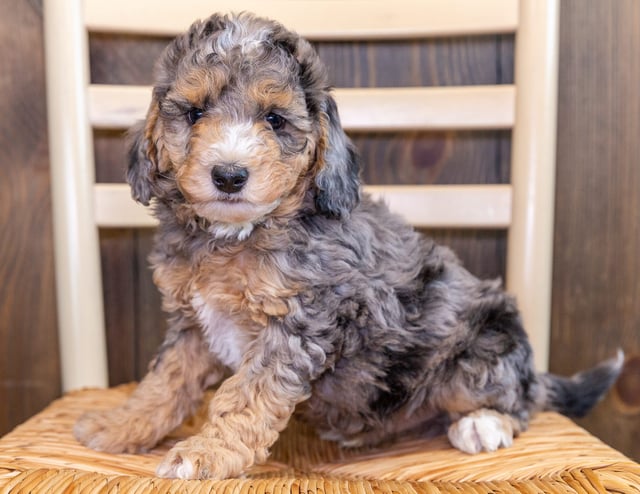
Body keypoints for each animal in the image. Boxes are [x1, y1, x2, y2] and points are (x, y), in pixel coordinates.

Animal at [72, 13, 624, 480]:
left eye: (275, 120)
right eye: (195, 112)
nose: (228, 175)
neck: (239, 234)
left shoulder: (298, 325)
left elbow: (244, 397)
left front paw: (205, 453)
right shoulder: (193, 325)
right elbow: (164, 381)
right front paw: (119, 425)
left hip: (484, 348)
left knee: (519, 402)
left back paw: (482, 424)